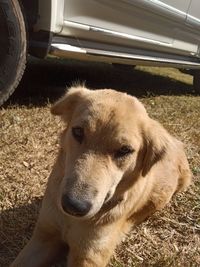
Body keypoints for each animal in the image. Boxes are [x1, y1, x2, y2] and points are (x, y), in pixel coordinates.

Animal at [11, 86, 192, 267]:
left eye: (125, 150)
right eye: (78, 132)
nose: (73, 206)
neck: (71, 221)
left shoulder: (88, 256)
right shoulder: (44, 236)